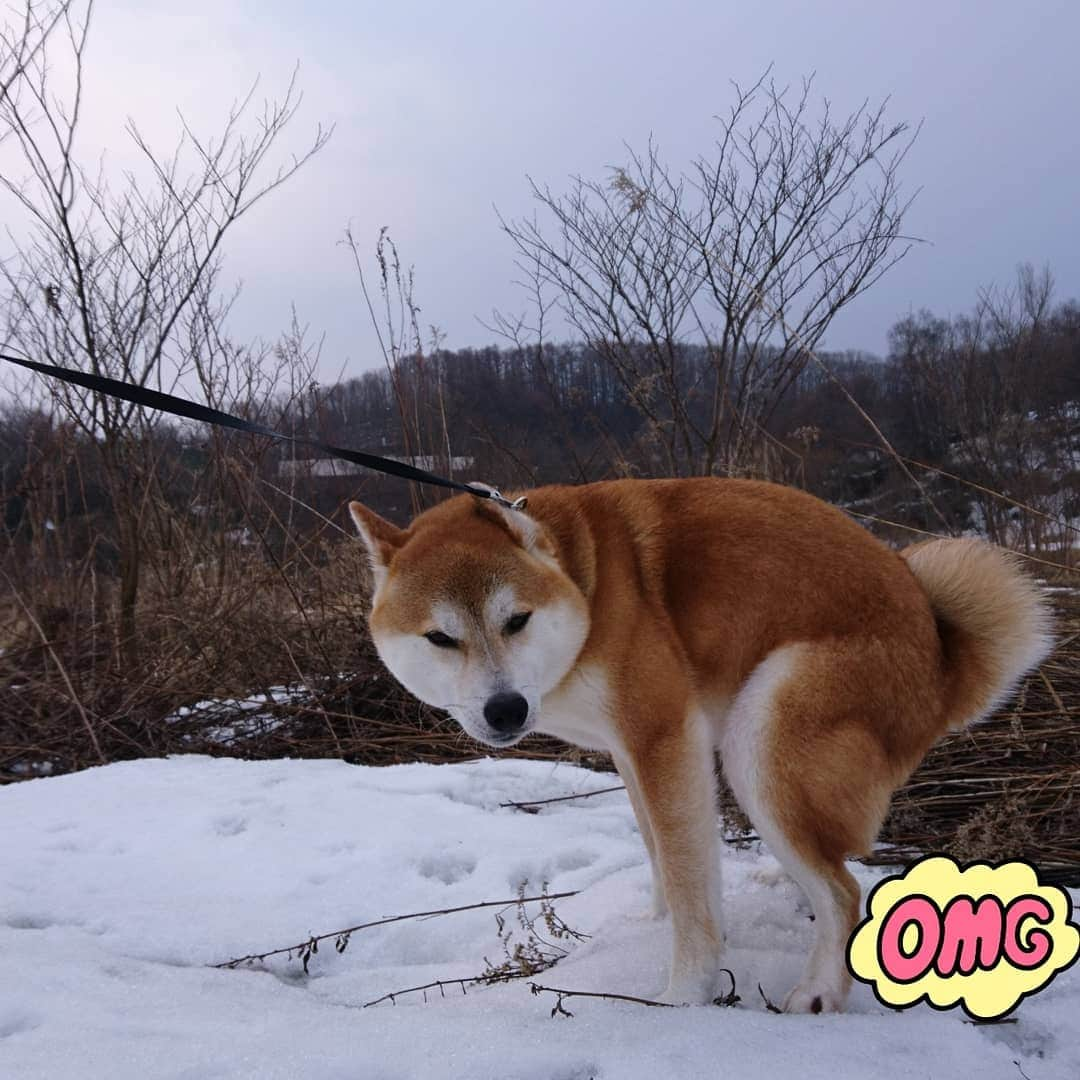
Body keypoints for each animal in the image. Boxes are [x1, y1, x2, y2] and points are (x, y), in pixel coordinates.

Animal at [347, 479, 1054, 1010]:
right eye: (441, 638)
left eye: (516, 620)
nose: (505, 708)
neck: (588, 584)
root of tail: (940, 662)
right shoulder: (631, 753)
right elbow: (664, 858)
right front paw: (647, 929)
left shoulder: (665, 738)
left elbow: (689, 883)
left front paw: (683, 998)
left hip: (758, 738)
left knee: (843, 892)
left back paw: (820, 991)